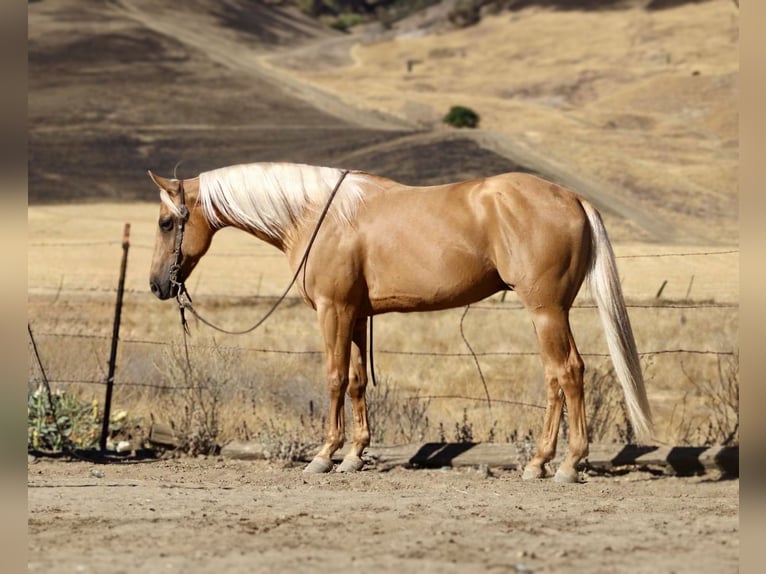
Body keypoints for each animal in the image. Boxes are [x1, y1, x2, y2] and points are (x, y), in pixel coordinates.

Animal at [148, 162, 653, 482]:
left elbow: (333, 378)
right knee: (555, 379)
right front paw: (354, 455)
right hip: (548, 315)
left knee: (567, 373)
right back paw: (541, 462)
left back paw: (566, 465)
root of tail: (572, 197)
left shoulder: (333, 310)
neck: (316, 215)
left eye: (165, 223)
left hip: (546, 311)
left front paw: (324, 455)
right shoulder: (355, 315)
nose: (157, 285)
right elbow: (356, 382)